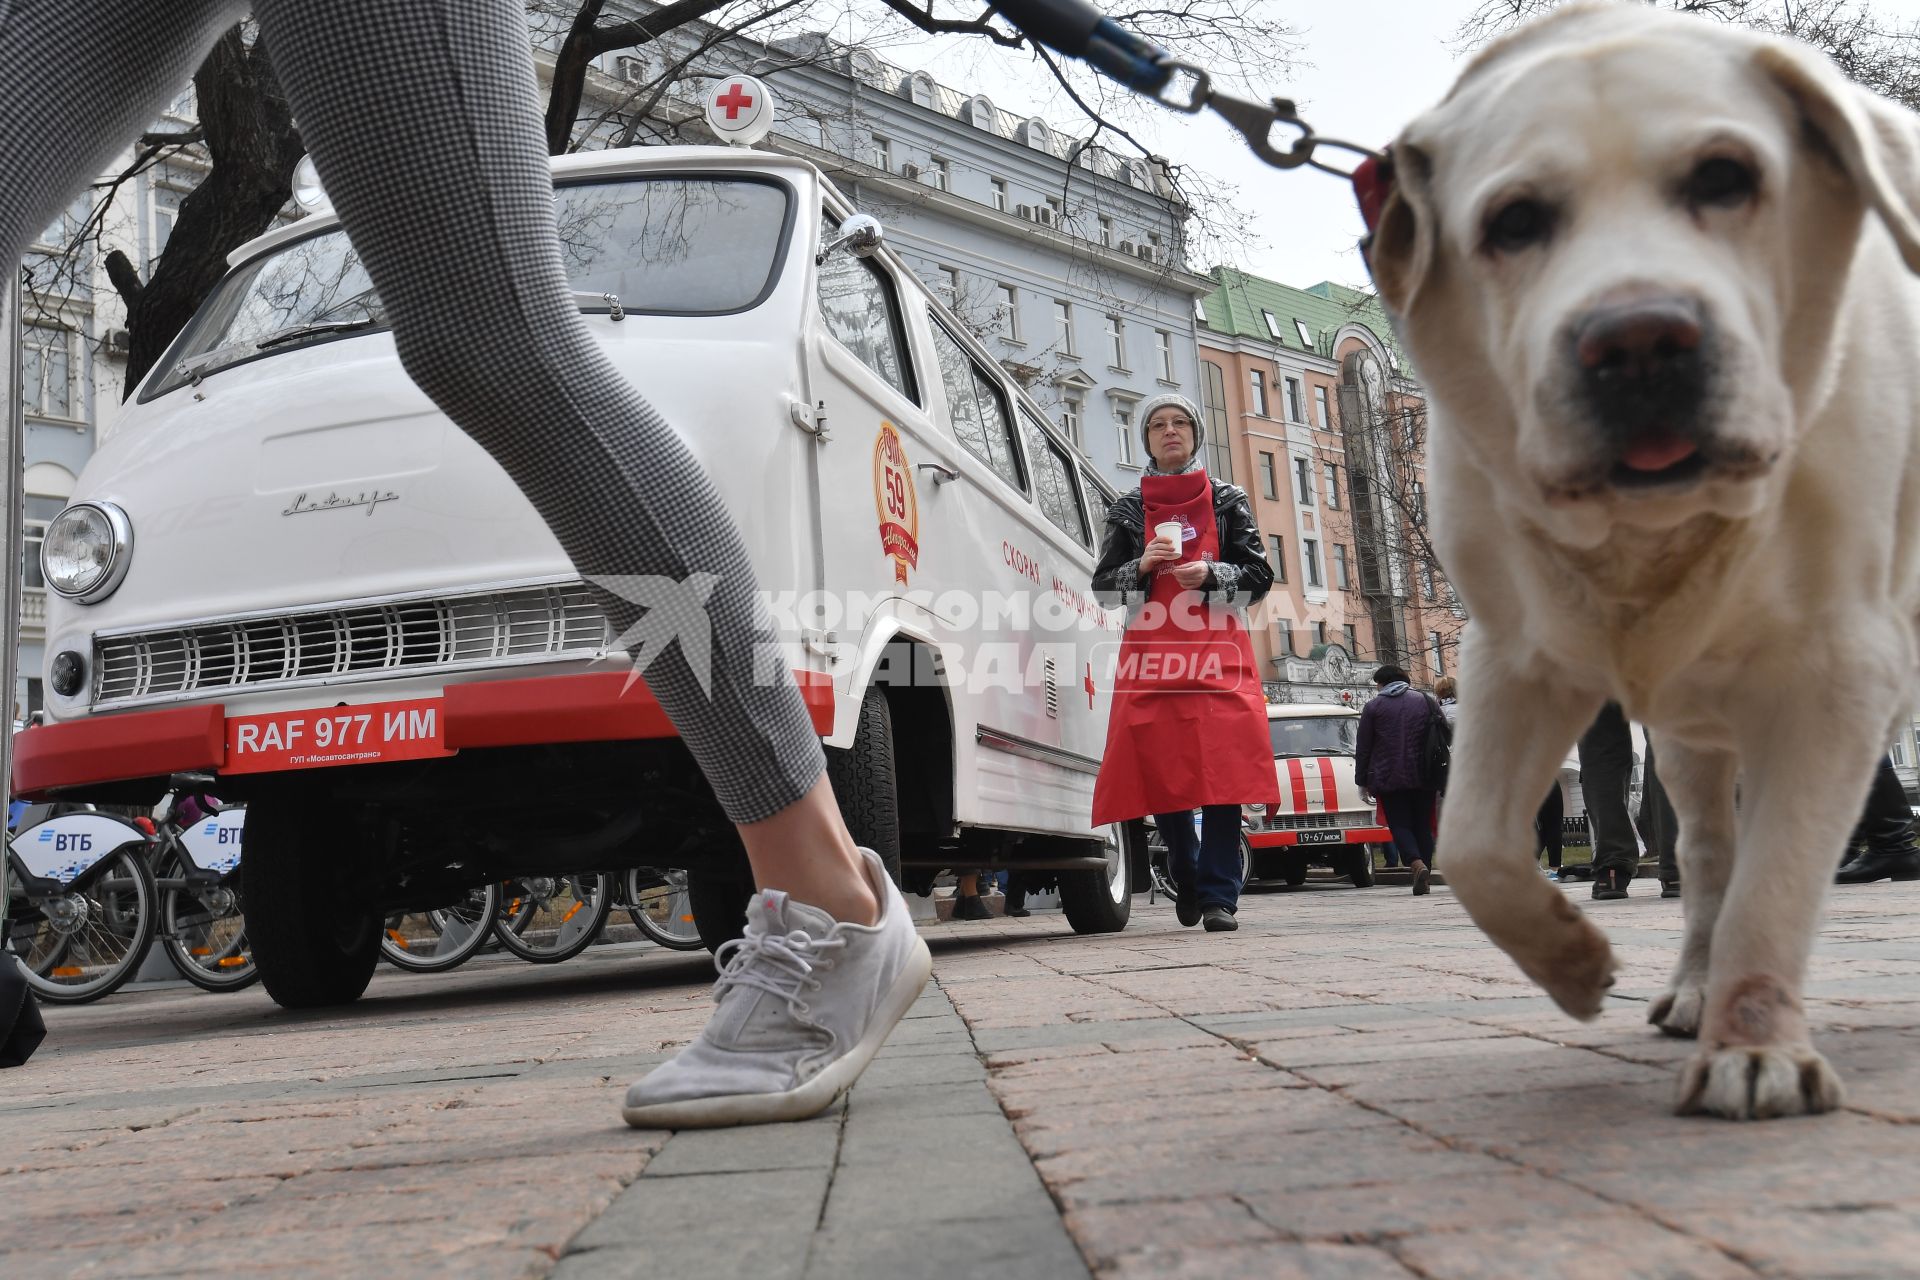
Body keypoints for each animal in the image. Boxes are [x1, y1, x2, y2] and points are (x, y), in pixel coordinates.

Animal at [1374, 0, 1920, 1120]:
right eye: (1514, 222)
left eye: (1725, 175)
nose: (1636, 341)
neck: (1653, 532)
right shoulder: (1512, 654)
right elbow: (1473, 843)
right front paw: (1577, 960)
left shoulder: (1838, 670)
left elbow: (1778, 881)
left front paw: (1756, 1047)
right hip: (1686, 735)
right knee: (1706, 853)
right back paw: (1694, 984)